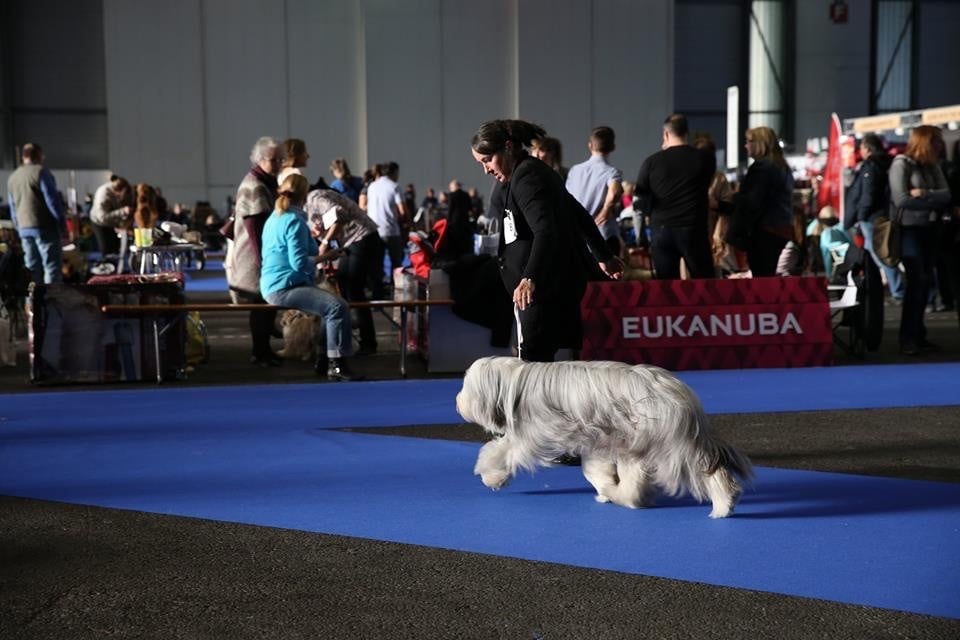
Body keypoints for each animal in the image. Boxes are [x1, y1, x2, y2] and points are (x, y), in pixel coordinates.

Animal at [454, 358, 752, 516]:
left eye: (466, 386)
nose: (457, 402)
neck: (514, 383)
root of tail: (676, 388)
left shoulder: (534, 434)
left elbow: (501, 451)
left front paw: (491, 476)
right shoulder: (595, 441)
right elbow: (594, 470)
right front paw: (606, 488)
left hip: (670, 444)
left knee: (706, 470)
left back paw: (724, 504)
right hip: (635, 441)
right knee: (637, 477)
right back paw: (627, 497)